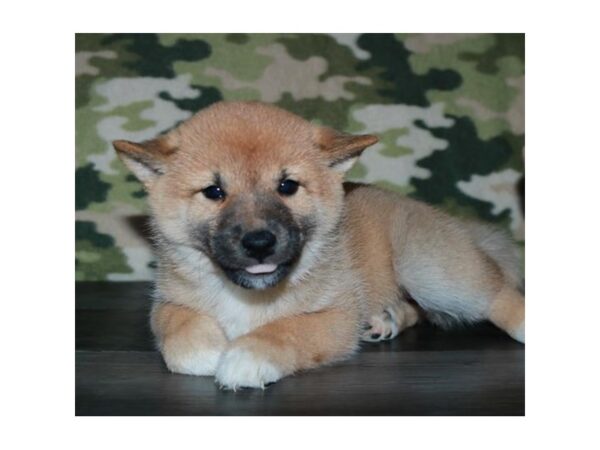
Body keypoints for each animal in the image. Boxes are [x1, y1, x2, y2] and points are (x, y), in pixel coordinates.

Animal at [112, 100, 524, 388]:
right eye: (213, 192)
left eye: (287, 186)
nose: (259, 243)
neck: (248, 297)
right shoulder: (169, 303)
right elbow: (181, 335)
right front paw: (209, 352)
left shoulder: (335, 317)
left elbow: (286, 330)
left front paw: (247, 356)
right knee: (416, 309)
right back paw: (386, 319)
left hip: (431, 271)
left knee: (498, 291)